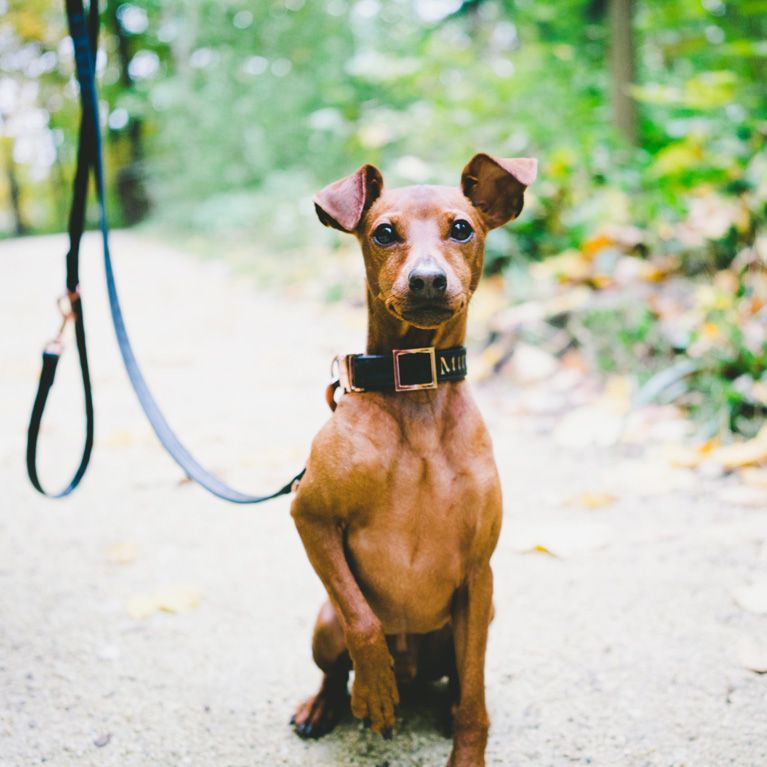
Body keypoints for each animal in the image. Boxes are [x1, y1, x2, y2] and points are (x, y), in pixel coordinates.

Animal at [292, 153, 536, 764]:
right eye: (383, 233)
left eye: (462, 228)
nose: (427, 278)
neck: (417, 391)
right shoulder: (308, 515)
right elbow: (363, 622)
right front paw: (373, 688)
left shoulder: (478, 577)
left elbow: (476, 699)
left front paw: (468, 748)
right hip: (323, 623)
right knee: (335, 663)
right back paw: (327, 704)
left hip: (472, 623)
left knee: (458, 682)